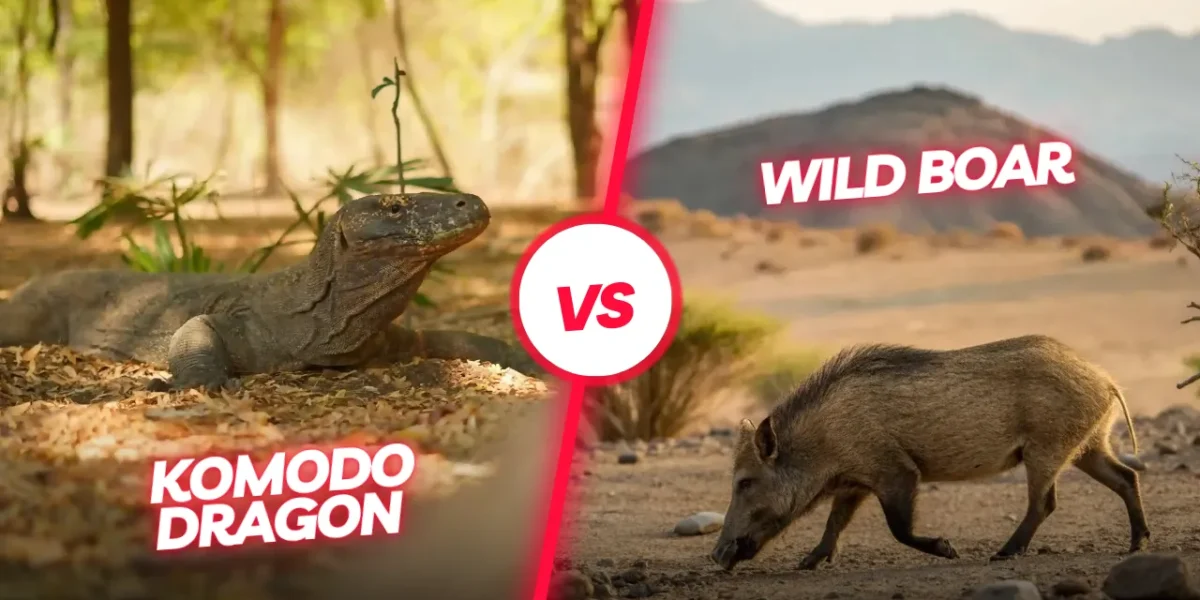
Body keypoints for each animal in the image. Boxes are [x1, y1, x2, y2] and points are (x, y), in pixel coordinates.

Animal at [710, 335, 1148, 571]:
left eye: (745, 482)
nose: (715, 556)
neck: (823, 443)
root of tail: (1105, 380)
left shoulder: (896, 472)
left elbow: (898, 528)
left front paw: (948, 550)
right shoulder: (855, 483)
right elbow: (835, 523)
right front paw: (807, 562)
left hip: (1046, 448)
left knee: (1045, 502)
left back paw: (1002, 554)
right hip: (1088, 446)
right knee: (1126, 477)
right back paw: (1137, 545)